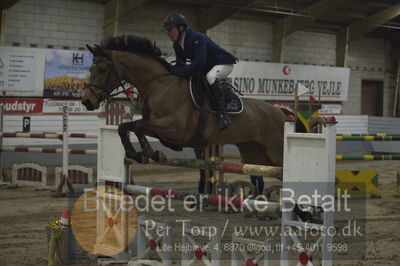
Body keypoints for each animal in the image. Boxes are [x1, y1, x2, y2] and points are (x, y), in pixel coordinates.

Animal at [82, 35, 288, 180]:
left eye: (102, 70)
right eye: (90, 69)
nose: (87, 101)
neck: (158, 85)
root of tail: (279, 111)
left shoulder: (176, 129)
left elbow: (139, 127)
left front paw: (151, 153)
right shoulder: (158, 126)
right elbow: (124, 127)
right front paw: (135, 153)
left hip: (275, 152)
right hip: (255, 154)